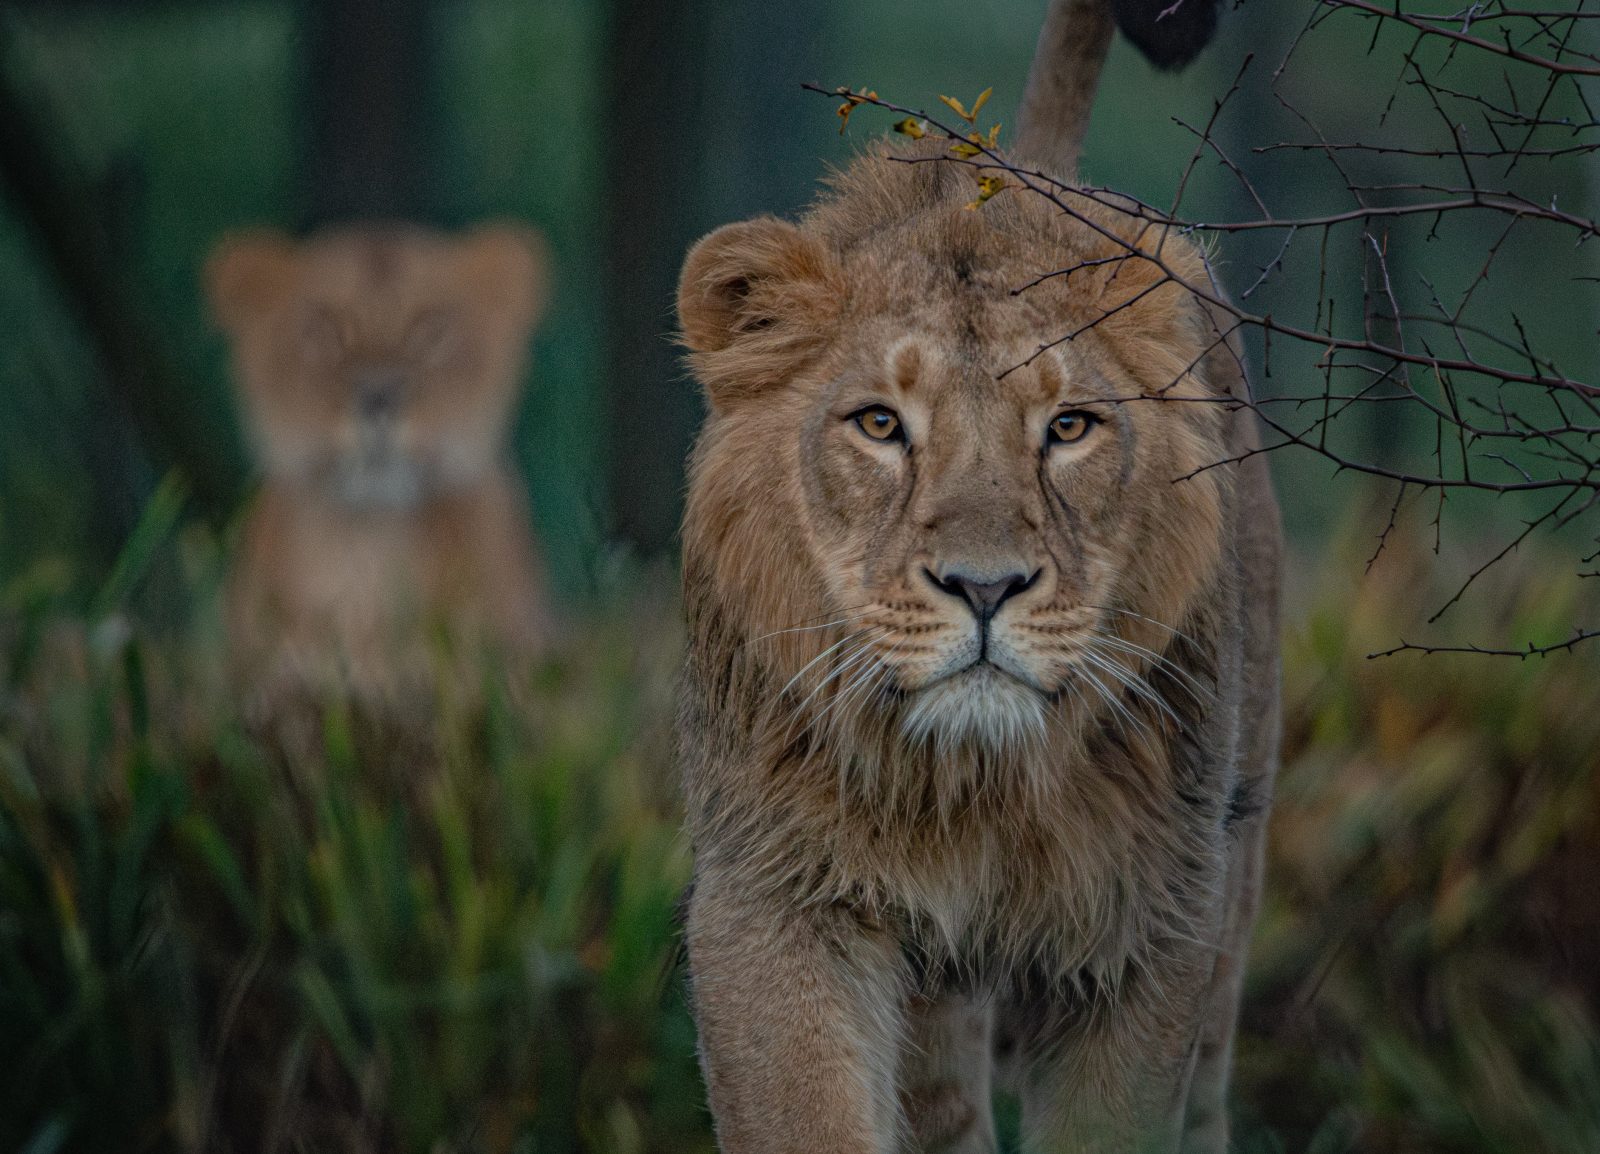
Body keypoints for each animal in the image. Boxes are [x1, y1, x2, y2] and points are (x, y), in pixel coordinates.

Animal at [673, 1, 1280, 1151]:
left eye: (1069, 428)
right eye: (878, 424)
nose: (986, 587)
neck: (969, 790)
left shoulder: (1150, 930)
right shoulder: (775, 894)